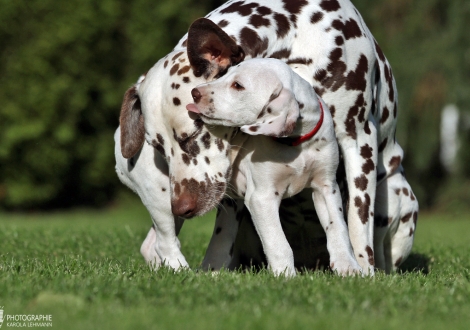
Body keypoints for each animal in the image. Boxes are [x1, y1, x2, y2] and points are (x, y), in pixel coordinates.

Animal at [185, 57, 362, 276]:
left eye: (238, 85)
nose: (195, 92)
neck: (296, 144)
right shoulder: (262, 197)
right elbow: (278, 242)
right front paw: (286, 275)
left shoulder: (327, 188)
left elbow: (338, 227)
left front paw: (348, 267)